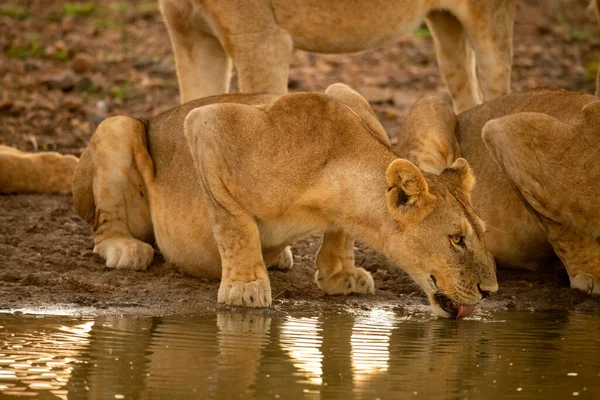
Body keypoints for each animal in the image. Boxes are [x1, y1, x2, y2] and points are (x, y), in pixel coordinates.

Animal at [63, 84, 494, 318]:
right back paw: (125, 249)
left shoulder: (345, 93)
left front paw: (340, 274)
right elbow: (233, 224)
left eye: (480, 233)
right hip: (117, 126)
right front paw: (245, 287)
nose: (491, 292)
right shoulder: (208, 125)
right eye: (457, 240)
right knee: (105, 226)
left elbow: (340, 232)